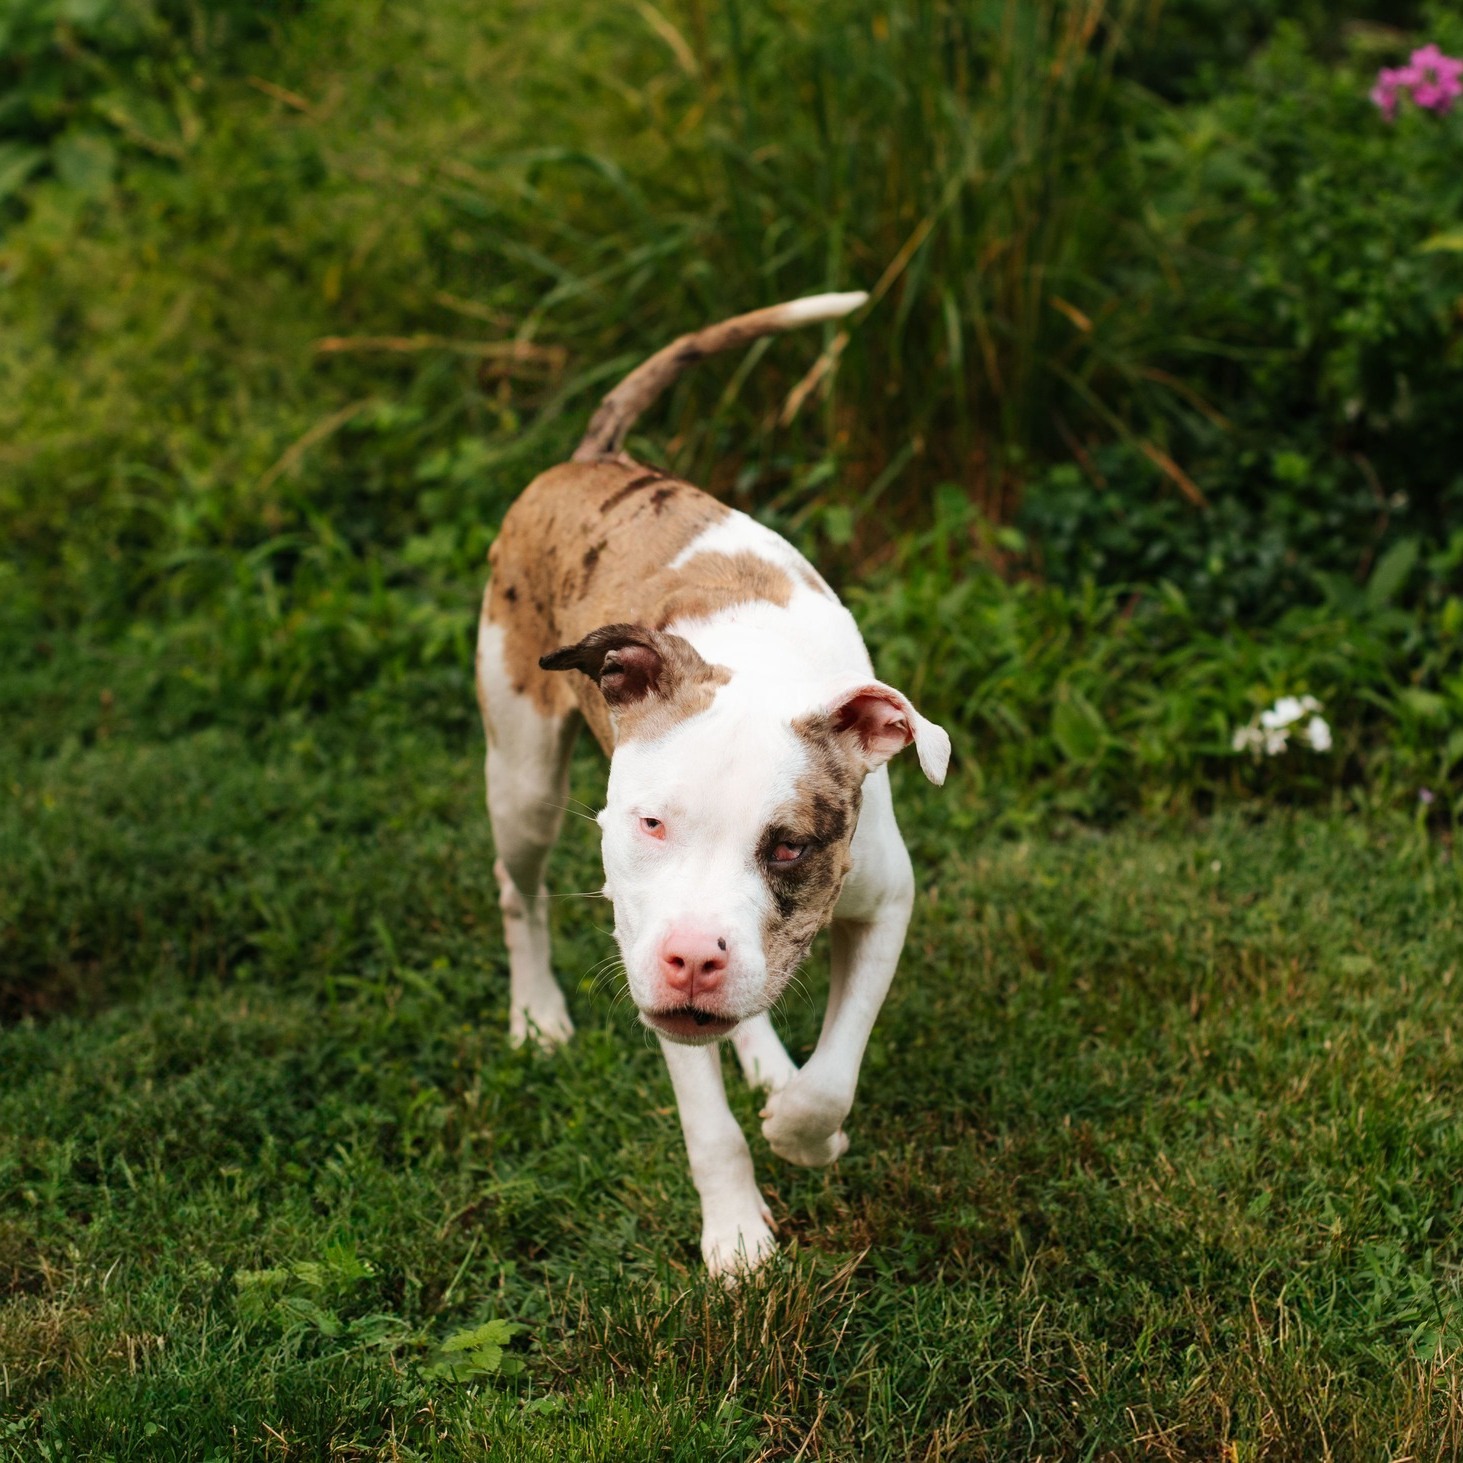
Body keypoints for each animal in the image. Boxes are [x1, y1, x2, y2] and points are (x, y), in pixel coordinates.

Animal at [474, 291, 942, 1275]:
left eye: (790, 845)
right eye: (650, 824)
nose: (693, 959)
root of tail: (593, 462)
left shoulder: (883, 902)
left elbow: (834, 1074)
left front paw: (805, 1129)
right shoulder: (642, 943)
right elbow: (708, 1124)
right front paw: (735, 1236)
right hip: (522, 776)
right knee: (517, 887)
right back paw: (536, 1014)